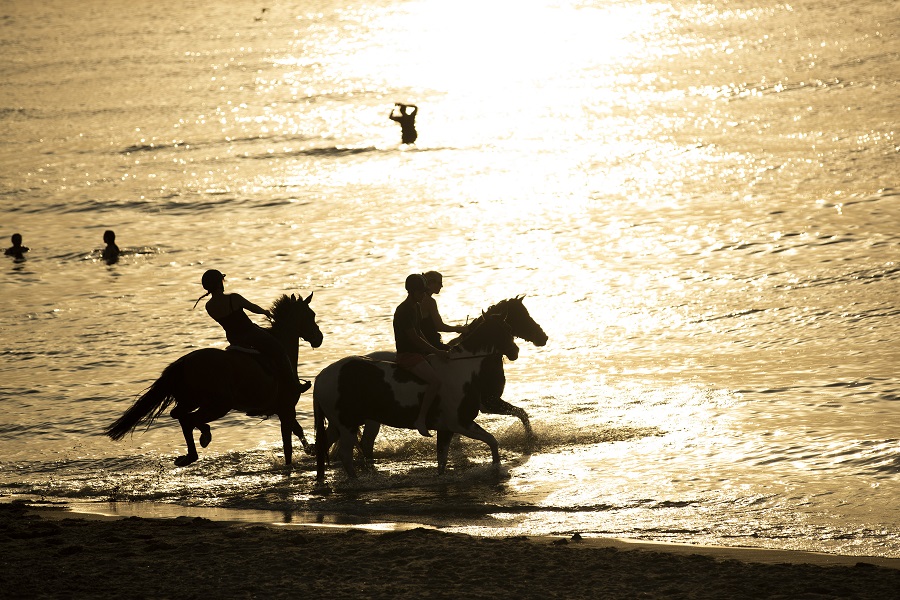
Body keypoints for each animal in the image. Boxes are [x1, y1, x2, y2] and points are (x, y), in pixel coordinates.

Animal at [106, 292, 324, 466]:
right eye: (311, 315)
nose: (319, 338)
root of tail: (184, 363)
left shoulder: (283, 410)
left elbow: (297, 431)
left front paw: (311, 450)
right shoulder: (286, 408)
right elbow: (288, 445)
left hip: (192, 401)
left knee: (180, 415)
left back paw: (193, 450)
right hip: (218, 405)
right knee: (189, 419)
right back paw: (201, 442)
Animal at [312, 312, 520, 480]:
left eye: (511, 328)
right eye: (504, 330)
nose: (515, 352)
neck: (461, 369)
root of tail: (322, 376)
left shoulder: (446, 429)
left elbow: (442, 460)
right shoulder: (460, 424)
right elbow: (492, 441)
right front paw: (496, 469)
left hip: (337, 425)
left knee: (324, 447)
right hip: (347, 426)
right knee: (346, 455)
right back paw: (356, 482)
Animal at [360, 296, 548, 460]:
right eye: (522, 316)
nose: (543, 338)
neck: (476, 360)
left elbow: (521, 413)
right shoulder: (489, 402)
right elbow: (520, 412)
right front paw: (530, 438)